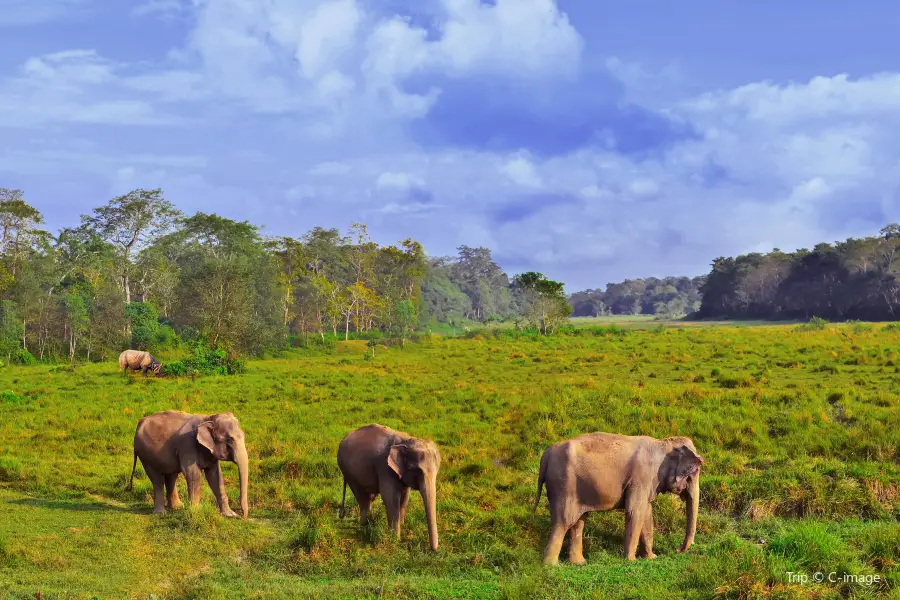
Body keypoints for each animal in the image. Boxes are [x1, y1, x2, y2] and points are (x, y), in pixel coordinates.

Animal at [336, 424, 442, 552]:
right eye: (416, 469)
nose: (433, 549)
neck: (405, 440)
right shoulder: (385, 467)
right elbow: (391, 498)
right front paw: (395, 539)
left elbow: (405, 498)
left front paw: (402, 525)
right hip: (348, 472)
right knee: (362, 497)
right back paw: (364, 525)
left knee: (369, 497)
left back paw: (370, 522)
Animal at [536, 434, 704, 564]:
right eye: (694, 472)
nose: (678, 549)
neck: (663, 443)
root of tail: (546, 454)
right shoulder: (641, 477)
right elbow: (635, 511)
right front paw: (631, 560)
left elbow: (647, 512)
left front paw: (651, 557)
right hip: (563, 485)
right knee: (564, 521)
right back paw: (552, 566)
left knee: (578, 522)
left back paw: (579, 563)